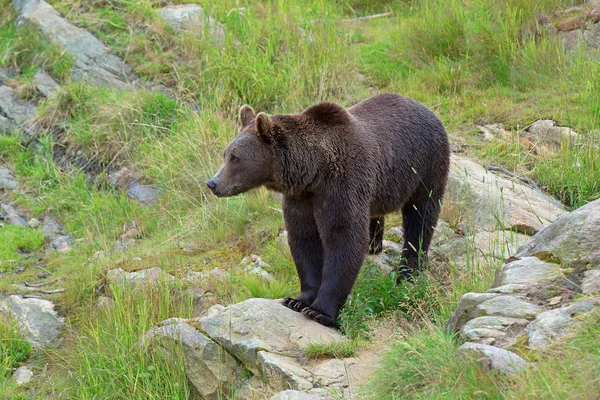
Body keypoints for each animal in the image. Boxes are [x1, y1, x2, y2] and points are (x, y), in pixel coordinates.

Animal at [209, 94, 448, 328]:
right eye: (225, 153)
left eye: (235, 157)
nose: (212, 183)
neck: (313, 171)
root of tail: (427, 109)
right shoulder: (301, 197)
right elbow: (304, 240)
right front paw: (298, 300)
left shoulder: (342, 184)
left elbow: (343, 237)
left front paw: (319, 311)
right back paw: (374, 244)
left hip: (425, 165)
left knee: (421, 218)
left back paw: (408, 272)